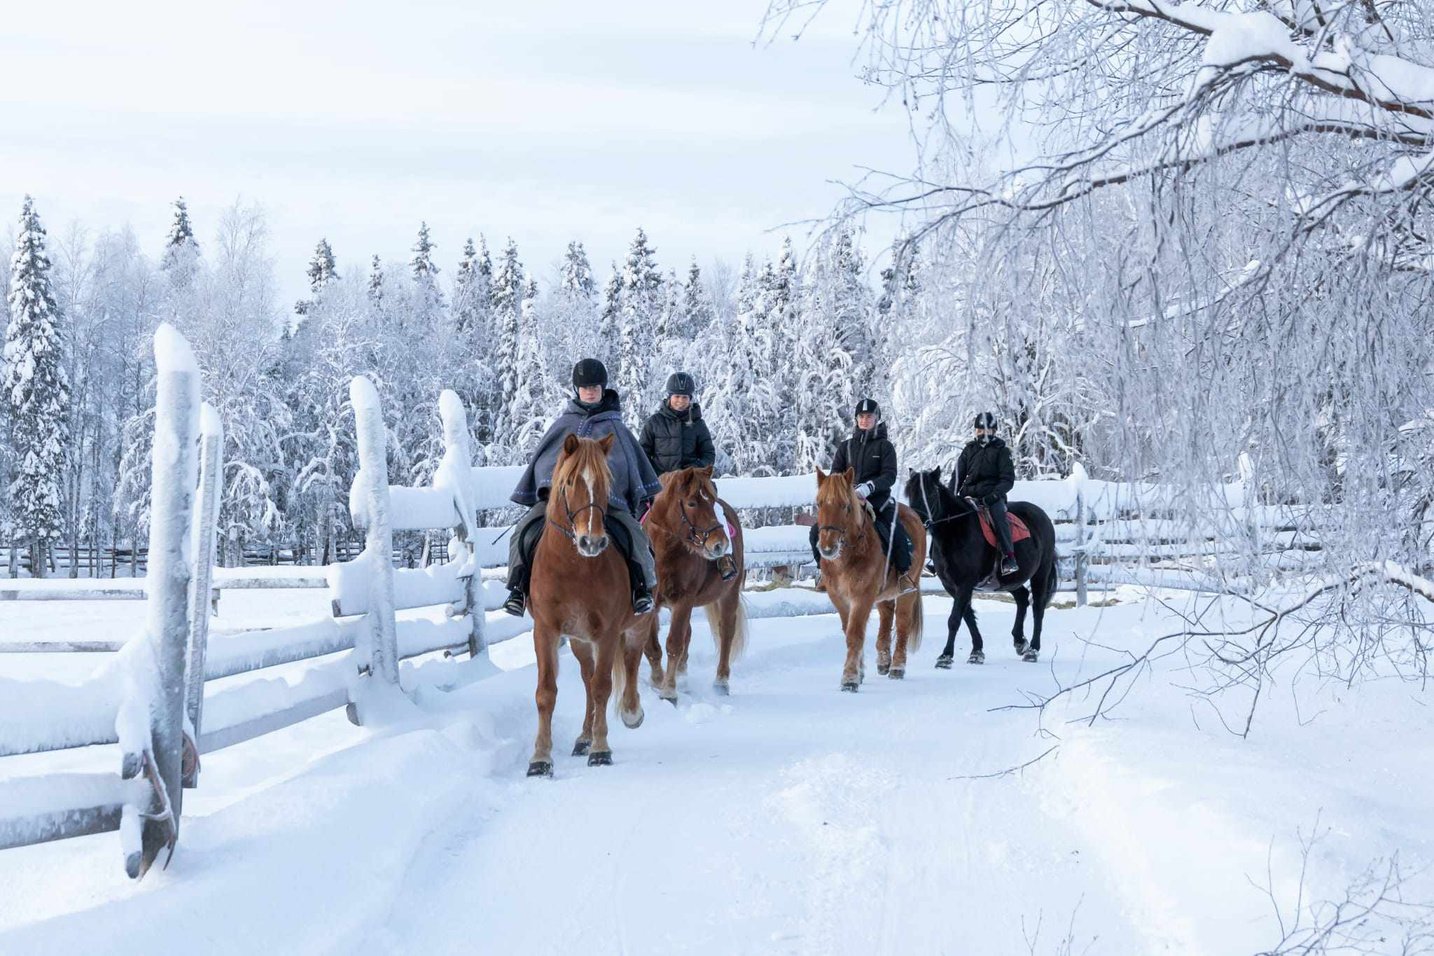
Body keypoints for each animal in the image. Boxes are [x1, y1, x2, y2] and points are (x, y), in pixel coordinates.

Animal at [527, 432, 651, 779]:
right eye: (569, 482)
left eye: (606, 483)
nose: (591, 542)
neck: (574, 567)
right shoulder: (546, 630)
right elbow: (547, 692)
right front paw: (540, 758)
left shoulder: (607, 632)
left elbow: (603, 687)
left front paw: (601, 749)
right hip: (579, 640)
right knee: (586, 677)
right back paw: (583, 736)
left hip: (636, 626)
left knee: (631, 661)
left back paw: (632, 712)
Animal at [642, 467, 751, 708]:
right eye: (691, 503)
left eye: (711, 500)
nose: (720, 543)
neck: (664, 552)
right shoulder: (650, 604)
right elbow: (652, 647)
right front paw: (657, 681)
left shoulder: (684, 600)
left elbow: (674, 644)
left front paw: (669, 692)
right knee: (689, 634)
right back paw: (682, 676)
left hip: (728, 595)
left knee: (726, 633)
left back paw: (721, 682)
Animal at [814, 467, 923, 690]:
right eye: (819, 503)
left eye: (845, 506)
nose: (827, 548)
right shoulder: (839, 598)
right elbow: (849, 631)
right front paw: (859, 671)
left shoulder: (862, 596)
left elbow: (855, 633)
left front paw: (849, 678)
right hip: (883, 594)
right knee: (886, 617)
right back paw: (883, 661)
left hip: (908, 590)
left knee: (902, 624)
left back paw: (897, 667)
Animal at [900, 464, 1061, 662]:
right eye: (910, 494)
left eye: (930, 494)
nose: (915, 521)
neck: (956, 530)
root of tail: (1043, 516)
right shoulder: (951, 585)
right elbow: (967, 616)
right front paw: (977, 651)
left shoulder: (965, 582)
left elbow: (955, 619)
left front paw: (946, 656)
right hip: (1009, 580)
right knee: (1023, 598)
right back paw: (1019, 642)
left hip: (1040, 573)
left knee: (1038, 606)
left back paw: (1032, 650)